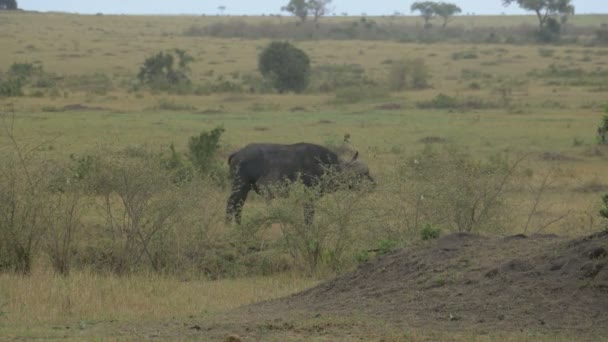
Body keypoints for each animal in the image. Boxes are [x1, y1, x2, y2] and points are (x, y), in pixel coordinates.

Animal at [226, 143, 372, 226]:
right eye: (362, 174)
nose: (373, 184)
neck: (323, 165)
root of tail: (238, 154)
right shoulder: (309, 196)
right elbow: (309, 214)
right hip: (240, 187)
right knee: (231, 204)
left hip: (245, 189)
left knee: (238, 206)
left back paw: (239, 226)